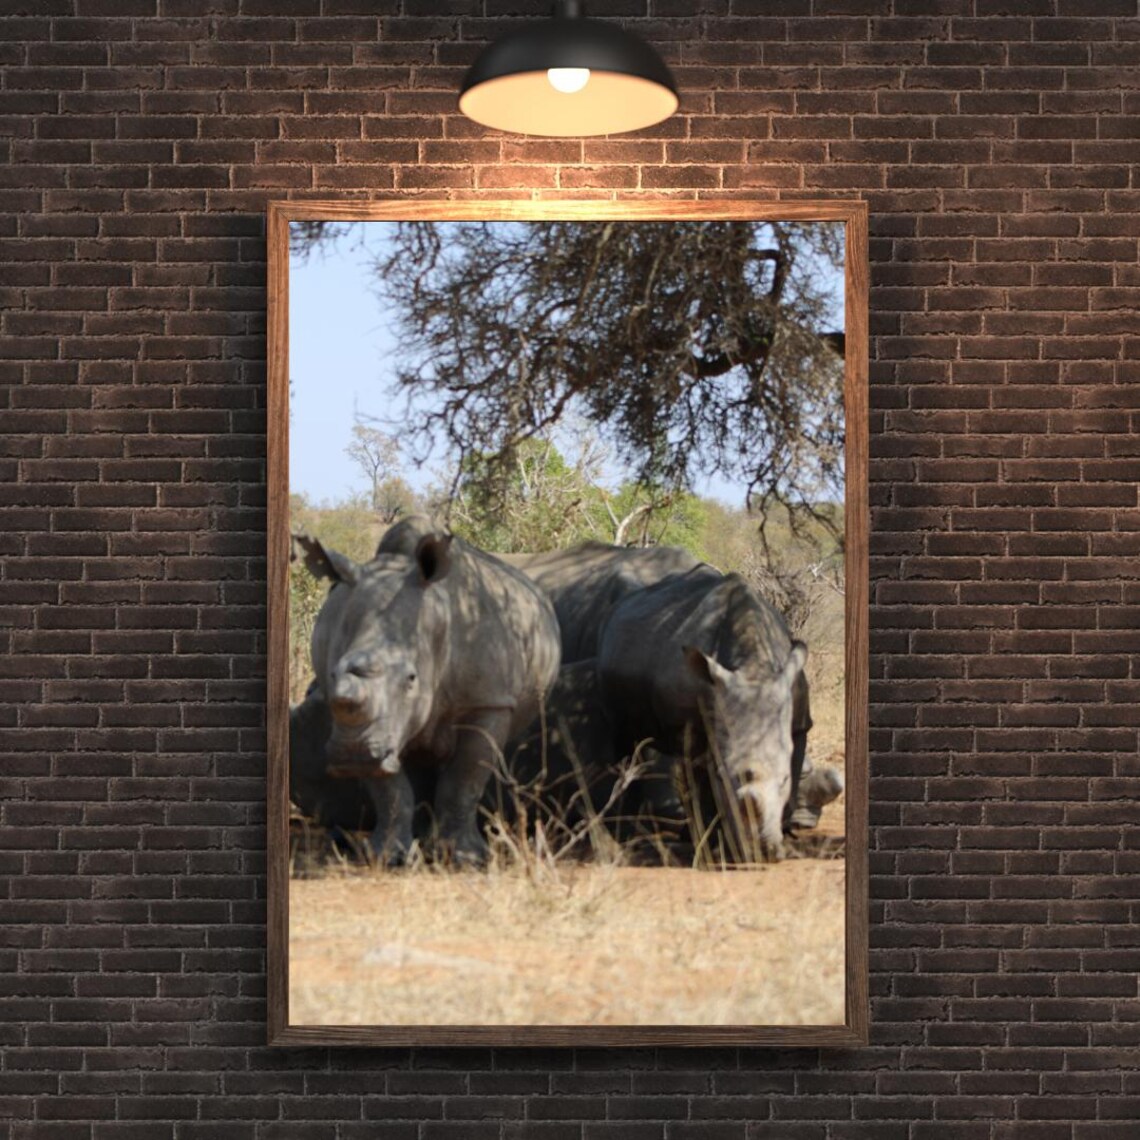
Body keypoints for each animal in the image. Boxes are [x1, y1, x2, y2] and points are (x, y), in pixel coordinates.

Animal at [295, 523, 561, 865]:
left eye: (411, 679)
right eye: (332, 675)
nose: (351, 755)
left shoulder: (488, 702)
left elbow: (465, 777)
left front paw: (465, 858)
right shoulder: (364, 723)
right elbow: (389, 788)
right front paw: (386, 857)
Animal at [598, 569, 810, 862]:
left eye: (784, 779)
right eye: (722, 776)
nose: (762, 853)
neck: (752, 668)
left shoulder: (798, 721)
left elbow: (795, 764)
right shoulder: (690, 725)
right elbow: (702, 778)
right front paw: (716, 846)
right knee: (626, 742)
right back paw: (630, 835)